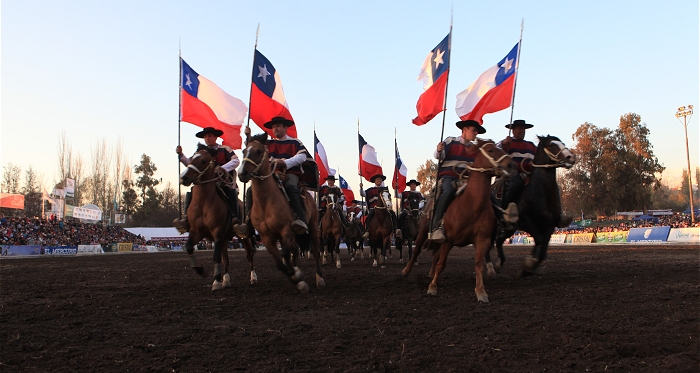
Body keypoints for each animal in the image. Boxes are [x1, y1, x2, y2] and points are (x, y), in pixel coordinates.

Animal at [179, 145, 258, 290]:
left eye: (204, 161)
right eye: (192, 158)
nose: (184, 178)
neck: (203, 203)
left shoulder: (217, 233)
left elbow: (216, 257)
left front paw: (216, 281)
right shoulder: (197, 232)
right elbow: (188, 247)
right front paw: (200, 270)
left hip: (244, 236)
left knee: (249, 255)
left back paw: (253, 277)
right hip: (225, 239)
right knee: (225, 258)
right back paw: (226, 280)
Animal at [238, 132, 326, 292]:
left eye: (258, 151)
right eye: (244, 151)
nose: (242, 173)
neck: (266, 203)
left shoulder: (286, 230)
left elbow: (285, 254)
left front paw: (298, 279)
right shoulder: (266, 237)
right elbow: (279, 262)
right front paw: (296, 278)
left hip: (312, 226)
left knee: (315, 251)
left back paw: (319, 279)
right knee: (295, 250)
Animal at [400, 138, 520, 300]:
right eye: (490, 150)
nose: (511, 165)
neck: (471, 205)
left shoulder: (482, 240)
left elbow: (478, 265)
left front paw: (481, 291)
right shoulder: (448, 240)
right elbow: (441, 264)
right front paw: (432, 287)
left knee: (435, 255)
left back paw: (431, 275)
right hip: (423, 233)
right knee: (417, 250)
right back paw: (406, 271)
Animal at [490, 134, 576, 276]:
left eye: (562, 143)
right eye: (551, 144)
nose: (571, 157)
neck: (539, 191)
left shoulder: (549, 226)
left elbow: (543, 250)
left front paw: (527, 268)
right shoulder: (527, 222)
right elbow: (539, 241)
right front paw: (529, 263)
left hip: (510, 228)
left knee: (499, 240)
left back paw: (498, 264)